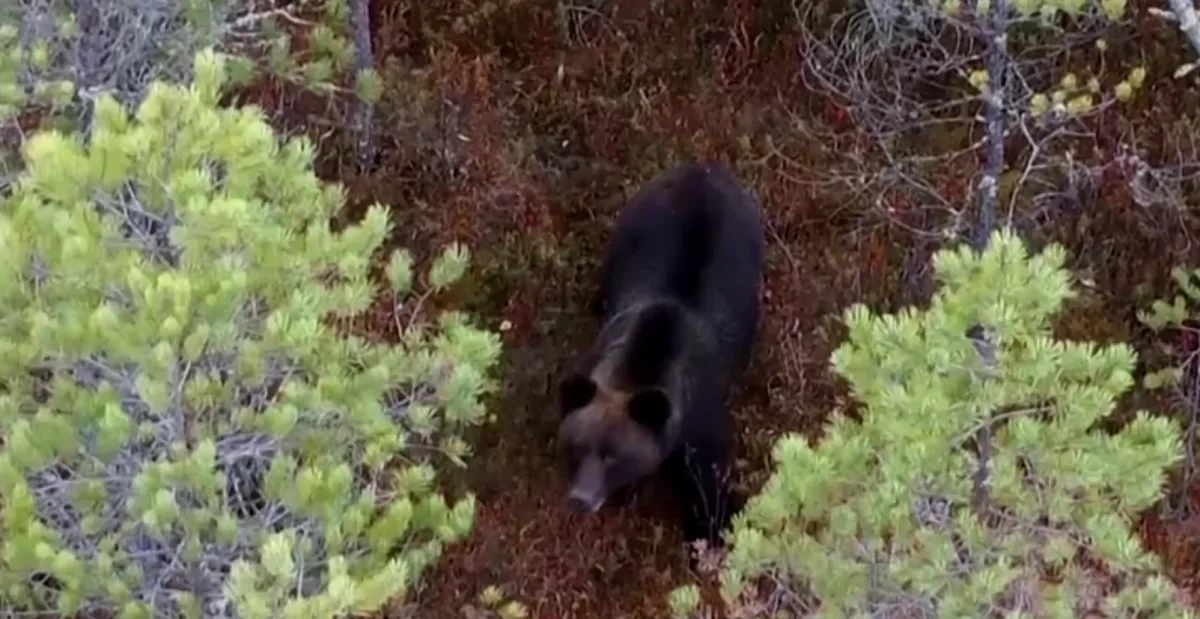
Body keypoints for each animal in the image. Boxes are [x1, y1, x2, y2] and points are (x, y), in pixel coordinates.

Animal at [556, 160, 764, 553]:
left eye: (614, 455)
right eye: (579, 445)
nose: (580, 499)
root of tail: (703, 167)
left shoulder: (701, 413)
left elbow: (708, 477)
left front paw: (710, 532)